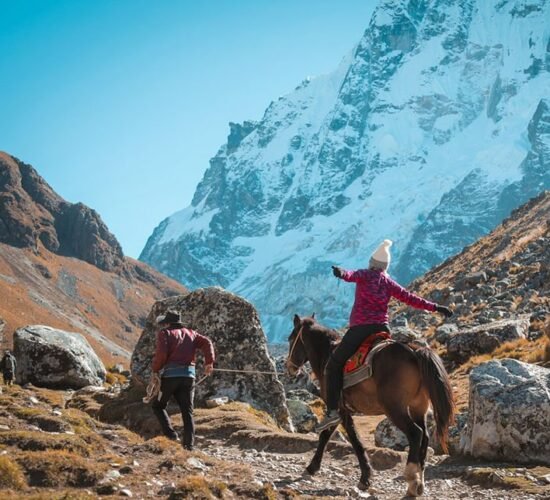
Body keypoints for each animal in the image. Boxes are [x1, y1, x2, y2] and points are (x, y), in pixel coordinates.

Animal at [286, 314, 454, 498]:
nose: (290, 367)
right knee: (425, 436)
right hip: (418, 406)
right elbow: (328, 435)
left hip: (395, 409)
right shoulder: (339, 411)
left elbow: (351, 439)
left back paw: (411, 478)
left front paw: (365, 478)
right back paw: (419, 483)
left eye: (291, 338)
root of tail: (414, 352)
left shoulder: (340, 409)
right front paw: (313, 467)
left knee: (415, 433)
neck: (326, 355)